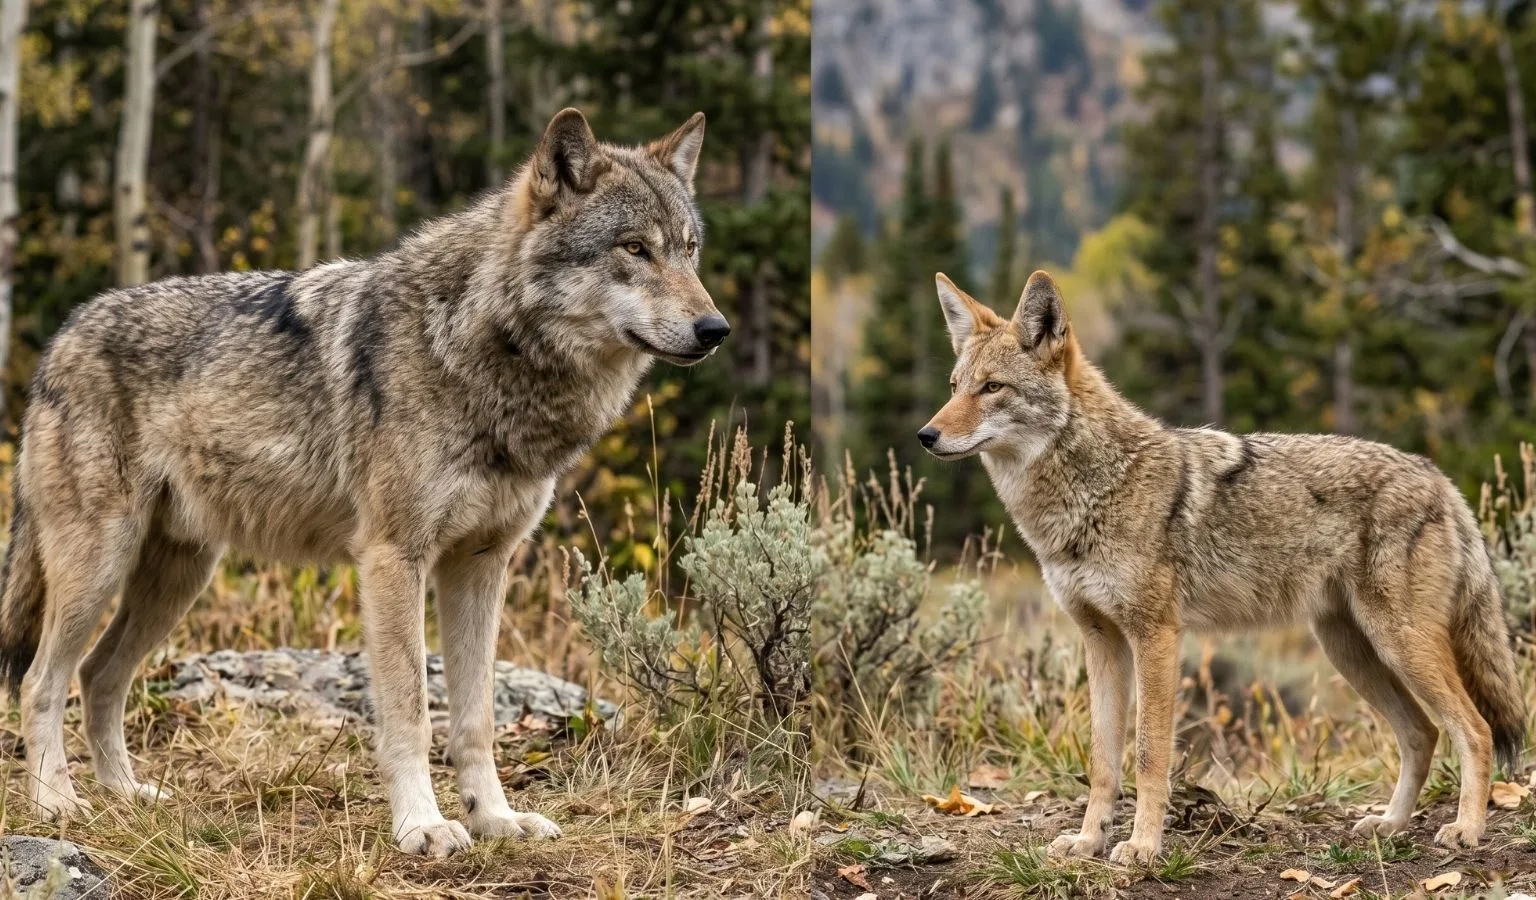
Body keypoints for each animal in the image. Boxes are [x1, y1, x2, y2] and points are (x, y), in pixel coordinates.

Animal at [0, 108, 728, 857]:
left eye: (690, 250)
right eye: (634, 248)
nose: (716, 328)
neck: (480, 350)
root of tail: (61, 338)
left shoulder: (481, 564)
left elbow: (475, 719)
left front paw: (495, 819)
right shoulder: (391, 559)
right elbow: (410, 711)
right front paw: (422, 826)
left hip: (178, 578)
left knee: (98, 675)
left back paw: (126, 795)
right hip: (100, 567)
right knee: (40, 680)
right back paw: (57, 803)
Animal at [920, 271, 1525, 864]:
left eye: (992, 387)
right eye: (953, 386)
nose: (926, 436)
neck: (1095, 488)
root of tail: (1438, 477)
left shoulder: (1156, 636)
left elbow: (1149, 756)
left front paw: (1142, 847)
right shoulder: (1101, 639)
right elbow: (1103, 762)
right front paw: (1090, 841)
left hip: (1399, 644)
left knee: (1474, 730)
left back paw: (1466, 830)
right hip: (1352, 651)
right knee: (1422, 733)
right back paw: (1391, 825)